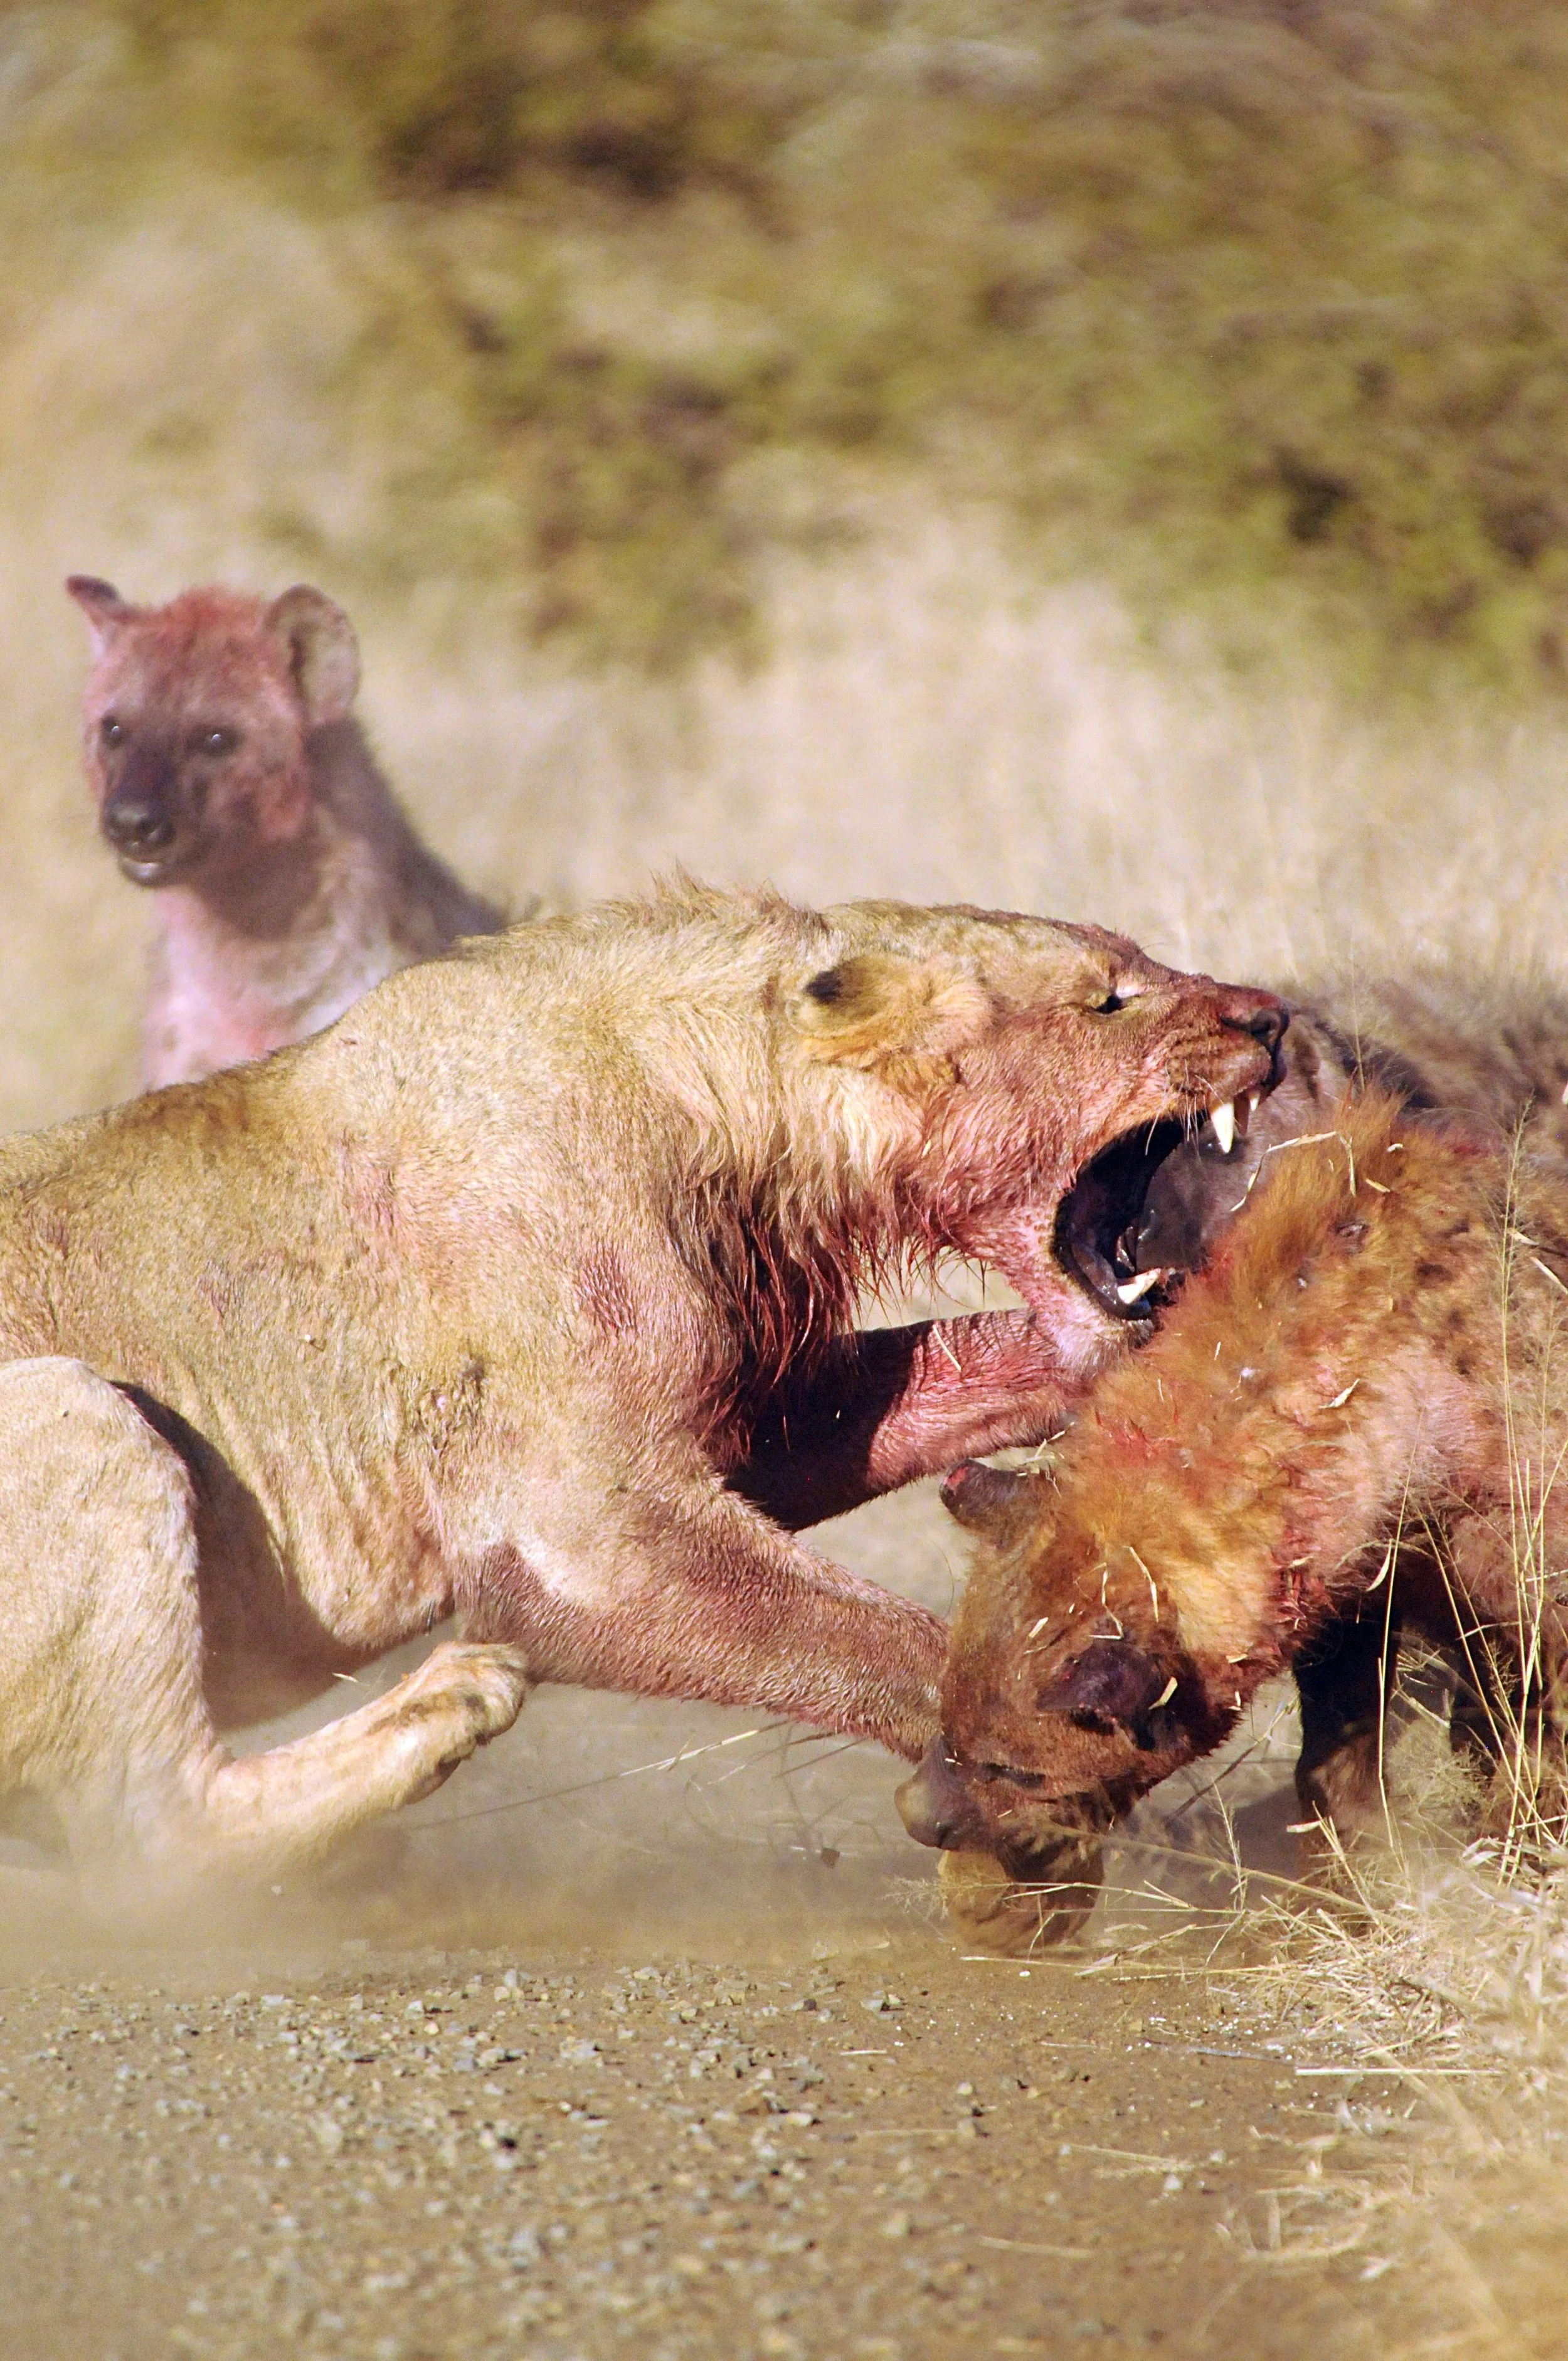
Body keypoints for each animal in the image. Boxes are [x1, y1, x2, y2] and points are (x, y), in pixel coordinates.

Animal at [0, 882, 1282, 1881]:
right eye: (1107, 997)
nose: (1270, 1017)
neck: (727, 1121)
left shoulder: (731, 1399)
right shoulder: (582, 1537)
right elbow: (871, 1640)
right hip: (73, 1413)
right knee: (139, 1827)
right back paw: (450, 1701)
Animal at [898, 1087, 1568, 1948]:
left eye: (1014, 1768)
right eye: (947, 1717)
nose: (916, 1815)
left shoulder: (1531, 1575)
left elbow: (1533, 1749)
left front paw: (1507, 1874)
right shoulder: (1356, 1593)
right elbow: (1334, 1764)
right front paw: (1336, 1897)